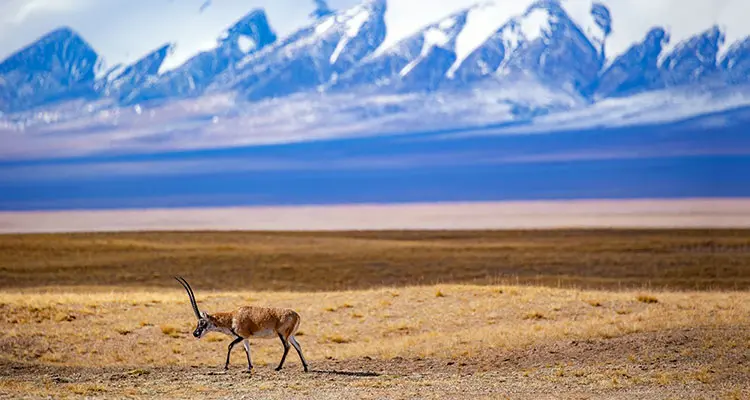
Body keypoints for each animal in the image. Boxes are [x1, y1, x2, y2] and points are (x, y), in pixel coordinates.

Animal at [173, 276, 308, 374]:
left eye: (202, 322)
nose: (195, 333)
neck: (232, 317)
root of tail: (296, 315)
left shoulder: (241, 336)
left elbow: (230, 346)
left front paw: (226, 366)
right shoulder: (245, 338)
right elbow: (247, 349)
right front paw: (249, 367)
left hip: (282, 335)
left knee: (287, 347)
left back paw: (278, 367)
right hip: (290, 335)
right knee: (297, 345)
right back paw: (305, 367)